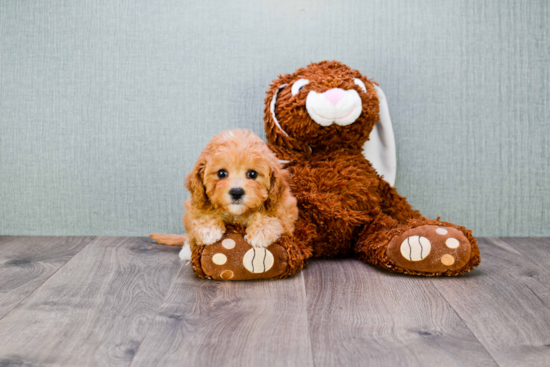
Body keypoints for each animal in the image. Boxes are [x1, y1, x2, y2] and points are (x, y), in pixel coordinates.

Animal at [150, 129, 298, 262]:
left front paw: (261, 230)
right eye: (221, 173)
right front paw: (208, 229)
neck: (237, 215)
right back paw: (186, 251)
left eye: (252, 174)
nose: (237, 192)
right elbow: (204, 216)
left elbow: (271, 217)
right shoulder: (196, 206)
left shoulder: (286, 212)